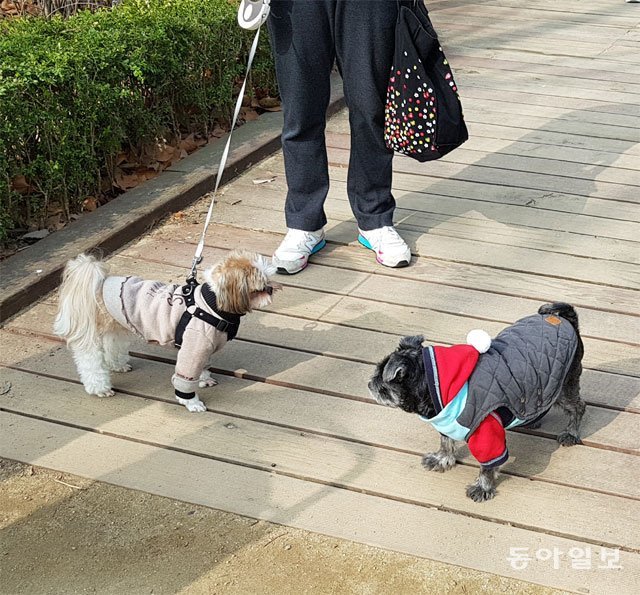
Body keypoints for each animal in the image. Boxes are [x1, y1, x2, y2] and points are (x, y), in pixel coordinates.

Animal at [56, 249, 282, 412]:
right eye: (261, 288)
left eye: (269, 281)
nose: (272, 289)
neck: (212, 304)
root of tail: (100, 282)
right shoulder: (194, 346)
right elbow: (185, 379)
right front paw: (192, 403)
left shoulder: (204, 349)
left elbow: (202, 368)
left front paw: (204, 379)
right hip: (92, 335)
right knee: (90, 360)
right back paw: (100, 388)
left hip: (116, 326)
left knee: (112, 345)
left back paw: (117, 365)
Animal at [370, 302, 584, 502]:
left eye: (381, 382)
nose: (370, 383)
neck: (436, 385)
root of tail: (567, 320)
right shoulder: (446, 421)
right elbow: (445, 441)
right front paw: (442, 459)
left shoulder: (486, 434)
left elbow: (487, 465)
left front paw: (483, 487)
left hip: (563, 386)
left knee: (578, 407)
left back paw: (571, 433)